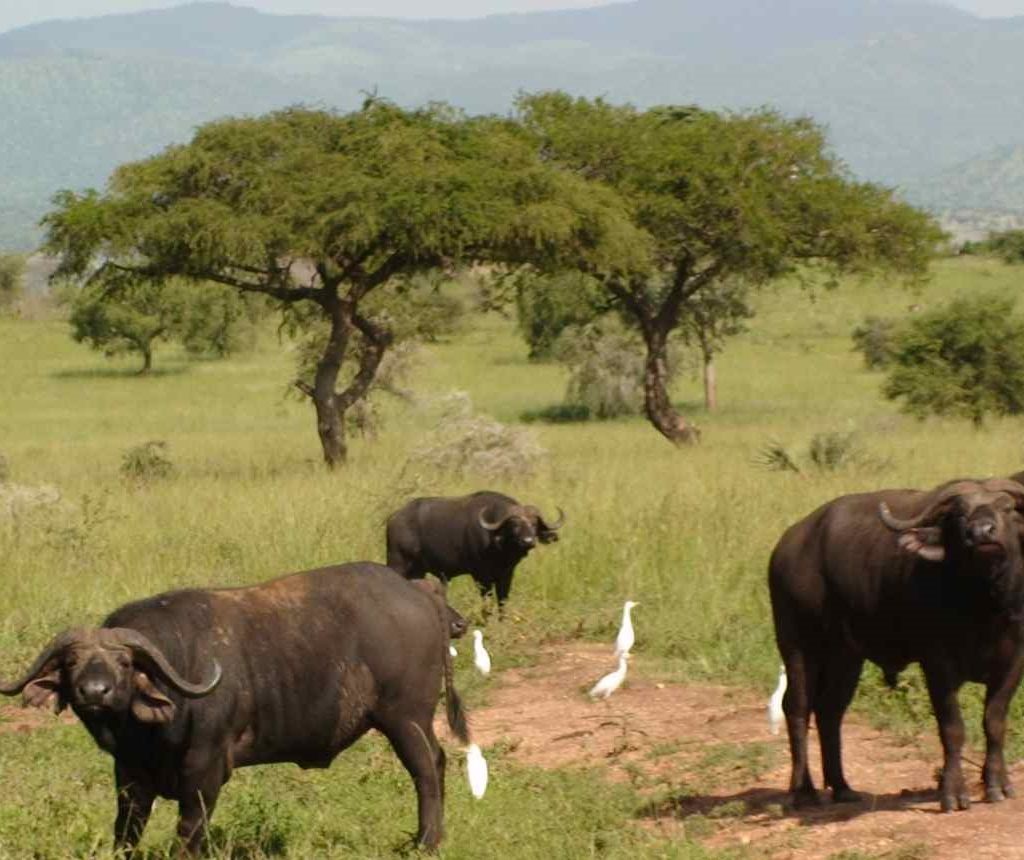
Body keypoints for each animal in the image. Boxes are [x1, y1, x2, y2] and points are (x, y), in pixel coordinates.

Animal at [0, 565, 471, 851]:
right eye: (73, 662)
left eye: (124, 662)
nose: (93, 691)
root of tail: (420, 592)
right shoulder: (130, 774)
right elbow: (126, 829)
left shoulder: (205, 773)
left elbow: (188, 832)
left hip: (406, 719)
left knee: (427, 770)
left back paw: (425, 842)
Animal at [385, 491, 565, 610]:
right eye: (514, 525)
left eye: (534, 524)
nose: (528, 541)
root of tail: (394, 519)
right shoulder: (481, 576)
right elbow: (487, 601)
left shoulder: (507, 575)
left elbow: (502, 601)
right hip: (397, 563)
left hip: (418, 571)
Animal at [770, 477, 1024, 814]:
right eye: (959, 514)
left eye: (1007, 508)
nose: (982, 532)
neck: (984, 607)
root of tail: (787, 545)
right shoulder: (937, 664)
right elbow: (952, 728)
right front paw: (953, 793)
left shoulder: (1014, 662)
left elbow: (994, 722)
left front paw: (998, 784)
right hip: (797, 643)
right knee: (796, 707)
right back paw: (804, 792)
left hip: (845, 655)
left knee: (829, 710)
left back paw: (842, 787)